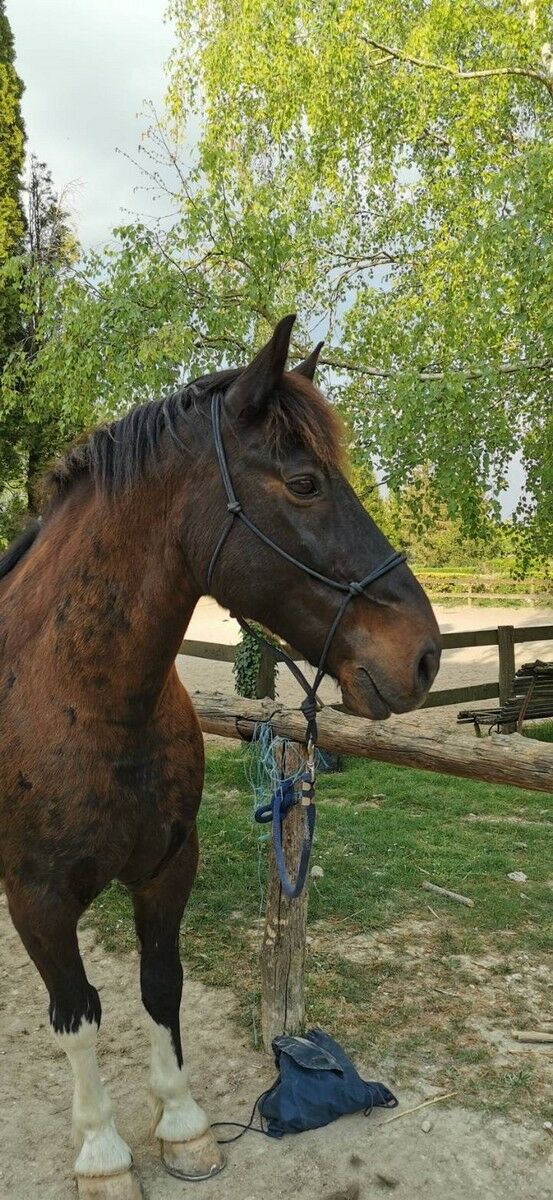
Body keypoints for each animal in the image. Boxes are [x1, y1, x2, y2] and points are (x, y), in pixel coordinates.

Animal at [0, 319, 439, 1200]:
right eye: (303, 483)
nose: (424, 656)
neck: (80, 702)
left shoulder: (169, 866)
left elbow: (158, 987)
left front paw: (182, 1125)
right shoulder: (37, 898)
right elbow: (77, 1012)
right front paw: (102, 1152)